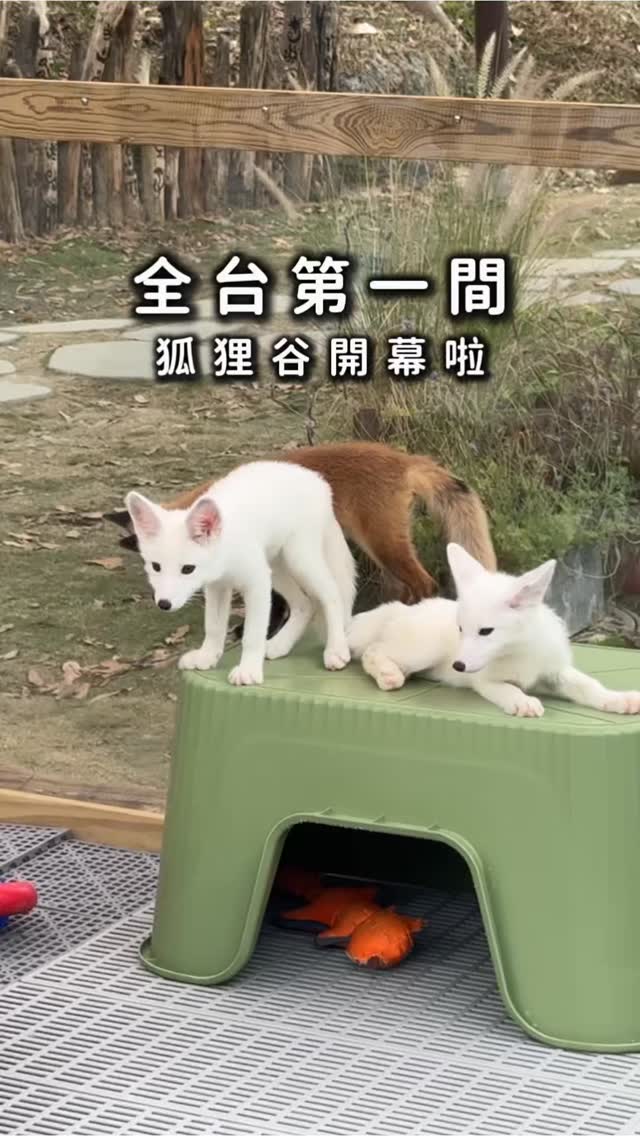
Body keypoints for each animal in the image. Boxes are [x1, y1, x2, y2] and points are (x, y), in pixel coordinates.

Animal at [107, 441, 497, 638]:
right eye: (154, 564)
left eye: (183, 567)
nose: (162, 601)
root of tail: (403, 458)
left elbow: (275, 605)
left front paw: (259, 632)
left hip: (383, 544)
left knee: (425, 583)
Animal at [125, 461, 356, 687]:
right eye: (156, 566)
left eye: (188, 569)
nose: (164, 604)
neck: (225, 549)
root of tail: (318, 481)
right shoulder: (217, 587)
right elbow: (214, 627)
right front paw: (206, 657)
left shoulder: (256, 584)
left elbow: (252, 635)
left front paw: (249, 671)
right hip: (275, 569)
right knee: (304, 604)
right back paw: (280, 645)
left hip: (299, 560)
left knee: (331, 594)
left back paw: (336, 649)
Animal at [348, 542, 640, 718]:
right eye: (461, 629)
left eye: (486, 631)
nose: (458, 667)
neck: (517, 650)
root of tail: (402, 608)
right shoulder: (484, 680)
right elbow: (507, 689)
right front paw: (522, 701)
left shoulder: (554, 671)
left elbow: (588, 685)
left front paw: (617, 700)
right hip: (424, 650)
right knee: (372, 651)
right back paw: (388, 674)